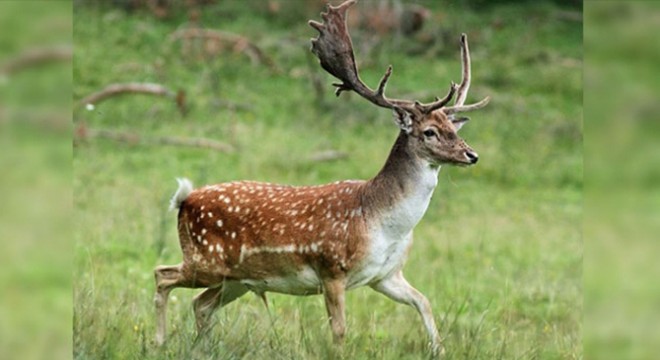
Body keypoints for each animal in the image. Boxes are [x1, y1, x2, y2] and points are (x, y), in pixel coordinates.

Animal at [152, 0, 488, 354]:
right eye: (430, 132)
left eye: (453, 128)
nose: (471, 155)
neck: (384, 223)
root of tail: (184, 200)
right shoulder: (332, 268)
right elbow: (339, 331)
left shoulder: (386, 275)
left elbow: (424, 302)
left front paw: (439, 349)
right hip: (206, 260)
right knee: (162, 275)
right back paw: (159, 341)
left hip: (237, 279)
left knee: (200, 304)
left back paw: (201, 347)